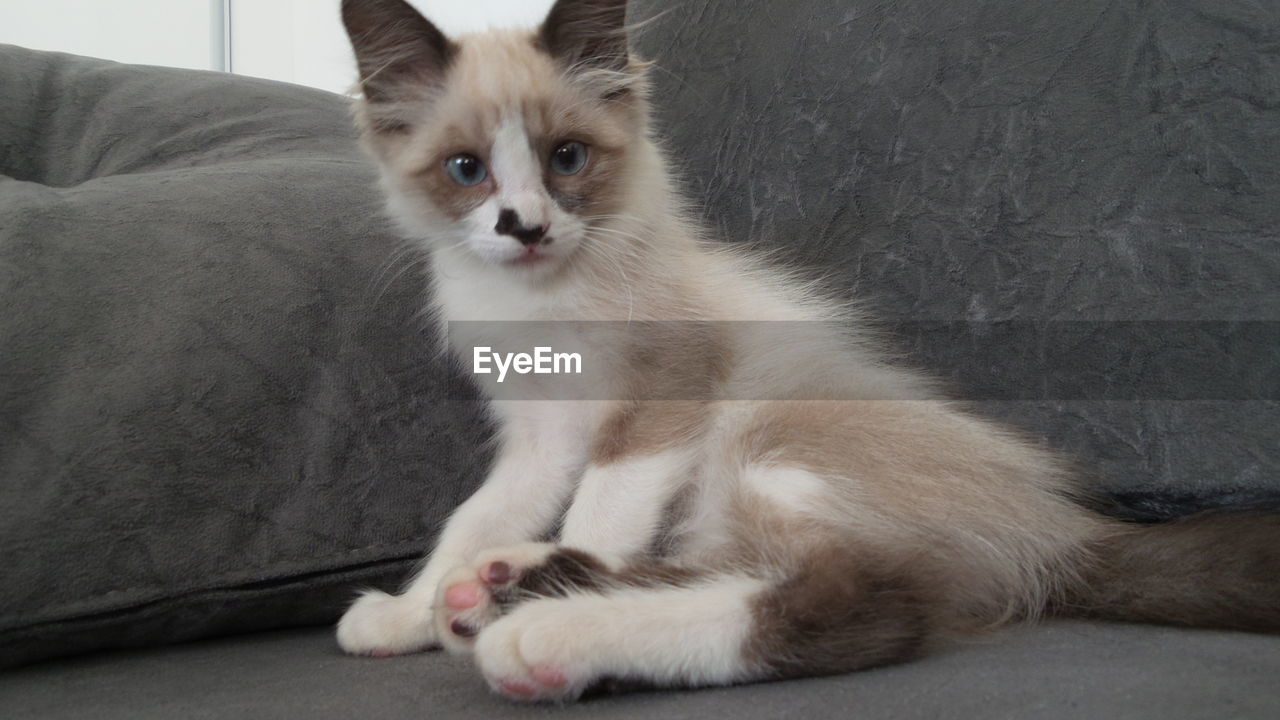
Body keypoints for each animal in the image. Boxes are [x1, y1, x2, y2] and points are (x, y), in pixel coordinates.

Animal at [337, 0, 1280, 702]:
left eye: (566, 159)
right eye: (467, 171)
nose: (525, 228)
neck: (539, 300)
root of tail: (1067, 528)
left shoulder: (660, 403)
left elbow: (602, 512)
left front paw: (499, 598)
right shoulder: (539, 435)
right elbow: (477, 517)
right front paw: (411, 610)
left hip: (773, 450)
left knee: (859, 602)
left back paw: (542, 625)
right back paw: (490, 592)